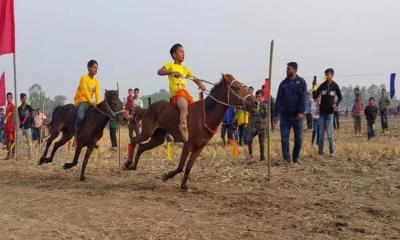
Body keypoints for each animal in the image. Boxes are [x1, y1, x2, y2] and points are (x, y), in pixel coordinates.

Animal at [123, 74, 258, 190]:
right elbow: (180, 167)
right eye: (236, 88)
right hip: (147, 131)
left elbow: (188, 166)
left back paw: (133, 166)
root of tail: (148, 108)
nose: (256, 102)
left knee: (141, 146)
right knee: (134, 141)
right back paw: (127, 163)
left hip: (158, 138)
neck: (205, 115)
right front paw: (166, 176)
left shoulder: (200, 146)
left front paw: (183, 185)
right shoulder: (188, 144)